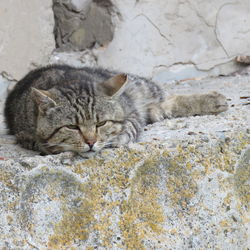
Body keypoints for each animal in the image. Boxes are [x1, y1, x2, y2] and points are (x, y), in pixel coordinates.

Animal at [3, 64, 228, 154]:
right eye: (72, 127)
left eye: (101, 123)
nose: (91, 142)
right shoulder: (26, 135)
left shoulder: (133, 113)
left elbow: (129, 126)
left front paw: (117, 138)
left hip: (141, 88)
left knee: (167, 100)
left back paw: (214, 100)